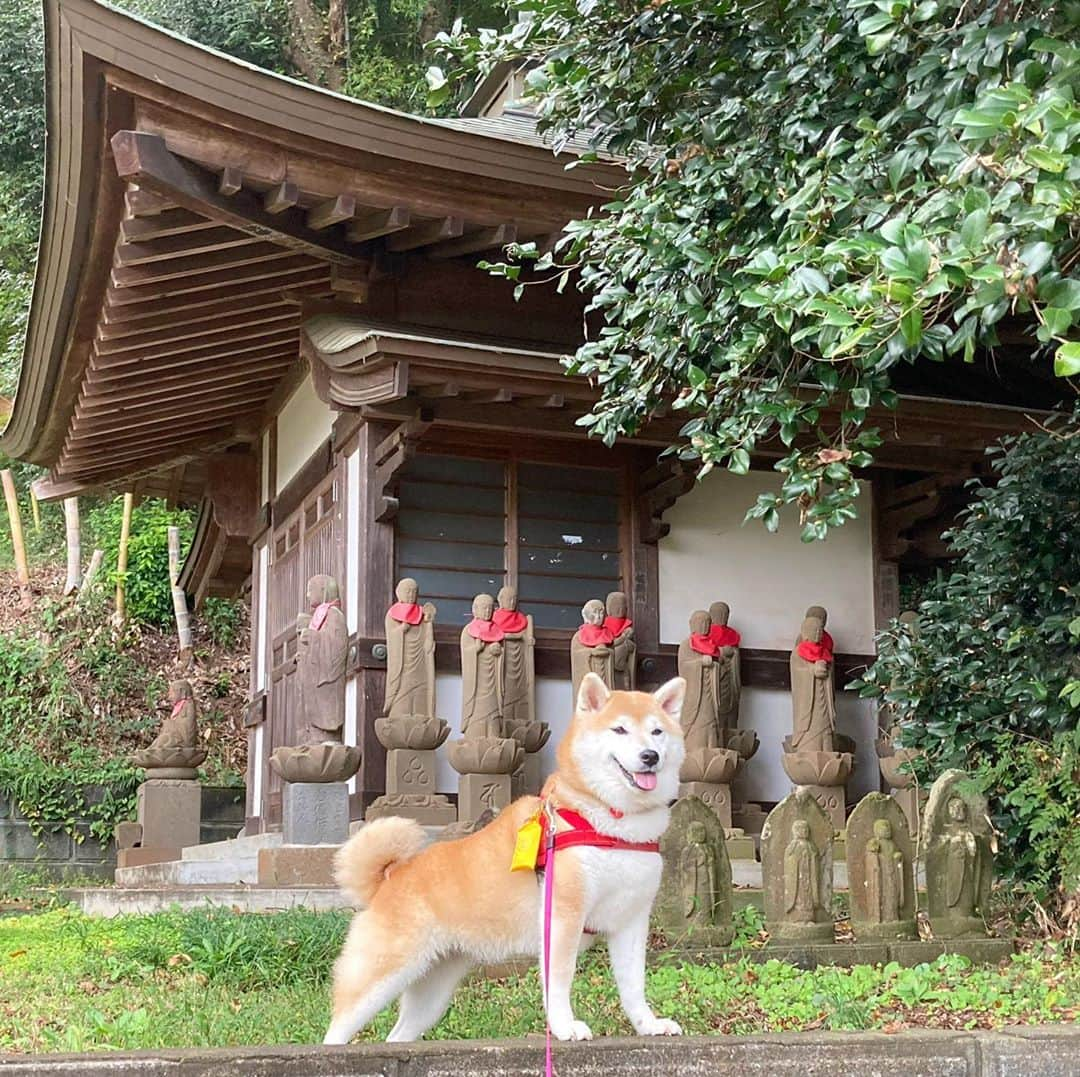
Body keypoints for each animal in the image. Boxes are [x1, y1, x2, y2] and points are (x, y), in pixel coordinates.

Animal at [324, 674, 686, 1041]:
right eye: (620, 730)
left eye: (657, 731)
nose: (650, 756)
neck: (613, 826)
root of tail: (389, 879)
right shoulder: (563, 917)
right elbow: (560, 982)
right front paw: (565, 1026)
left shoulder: (632, 920)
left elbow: (634, 987)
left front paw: (649, 1025)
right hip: (381, 975)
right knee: (336, 1030)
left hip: (433, 988)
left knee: (397, 1035)